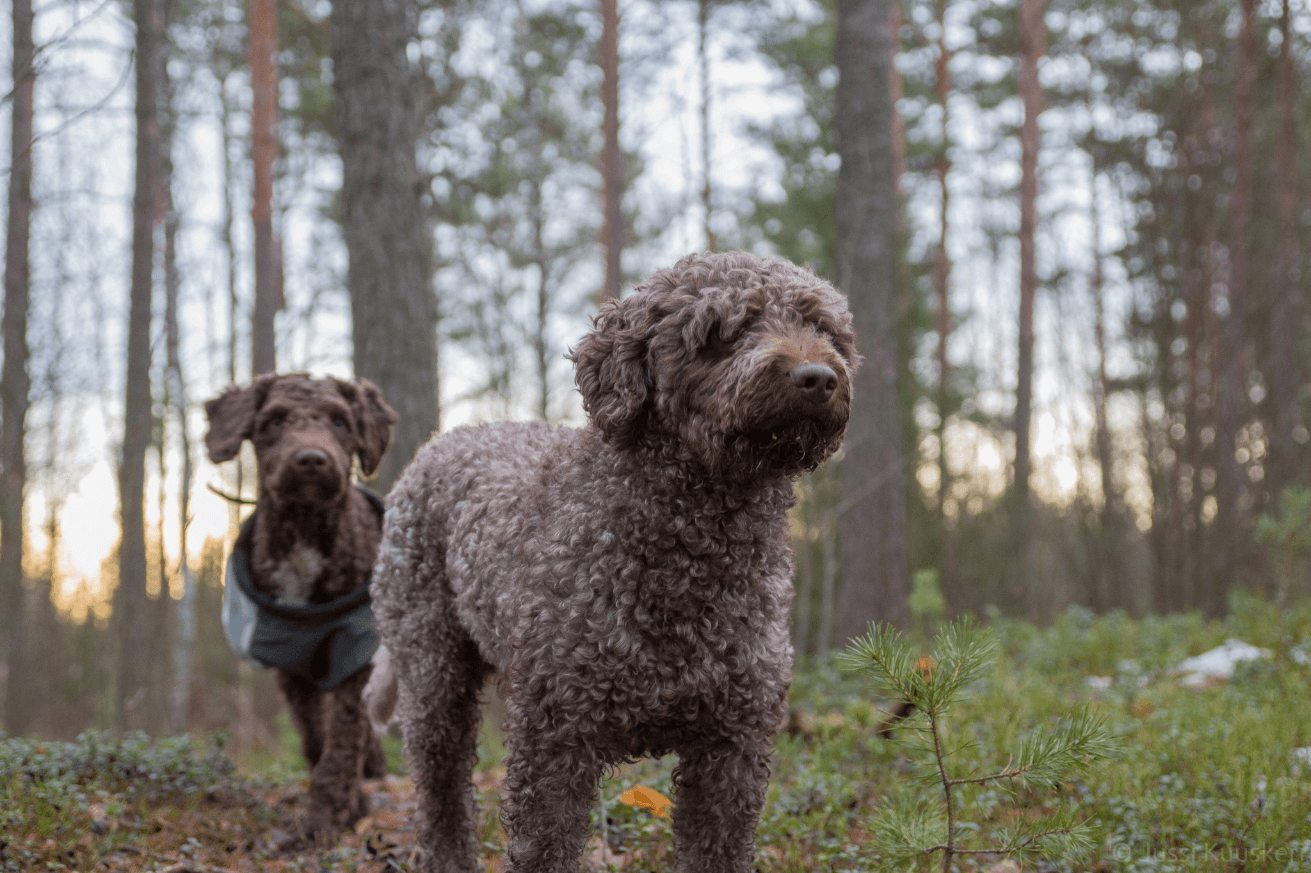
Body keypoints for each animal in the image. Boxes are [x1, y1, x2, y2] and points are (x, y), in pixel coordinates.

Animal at [369, 251, 860, 870]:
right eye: (724, 331)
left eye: (824, 329)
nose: (817, 377)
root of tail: (439, 443)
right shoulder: (554, 738)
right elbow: (545, 849)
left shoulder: (733, 745)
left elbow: (717, 849)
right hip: (433, 674)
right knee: (441, 794)